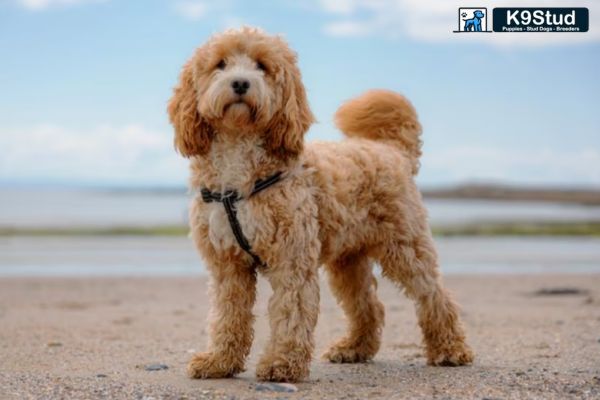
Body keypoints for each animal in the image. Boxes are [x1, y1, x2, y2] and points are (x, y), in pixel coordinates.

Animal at [168, 26, 474, 382]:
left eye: (262, 66)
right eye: (220, 64)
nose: (241, 83)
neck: (239, 155)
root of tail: (391, 149)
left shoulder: (292, 257)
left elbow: (291, 311)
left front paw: (281, 363)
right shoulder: (227, 265)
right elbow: (228, 315)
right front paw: (220, 361)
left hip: (406, 247)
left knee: (434, 296)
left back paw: (450, 349)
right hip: (348, 260)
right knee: (368, 305)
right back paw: (353, 348)